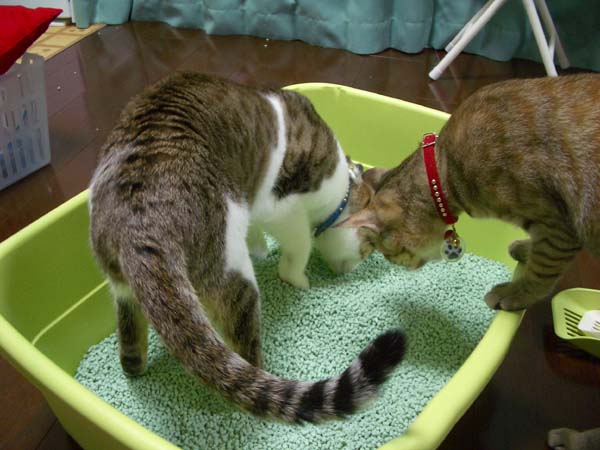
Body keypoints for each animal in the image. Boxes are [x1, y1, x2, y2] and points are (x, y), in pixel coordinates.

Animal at [89, 72, 405, 424]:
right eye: (368, 250)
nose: (348, 271)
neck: (341, 188)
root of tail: (140, 224)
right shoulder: (285, 210)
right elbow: (299, 248)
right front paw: (298, 279)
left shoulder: (251, 202)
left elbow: (257, 235)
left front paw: (261, 249)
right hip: (230, 266)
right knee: (246, 355)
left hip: (120, 282)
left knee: (129, 333)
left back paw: (135, 366)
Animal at [338, 73, 600, 450]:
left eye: (389, 253)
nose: (402, 265)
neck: (448, 169)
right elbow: (537, 252)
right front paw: (523, 248)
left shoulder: (559, 223)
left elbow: (540, 270)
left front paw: (514, 293)